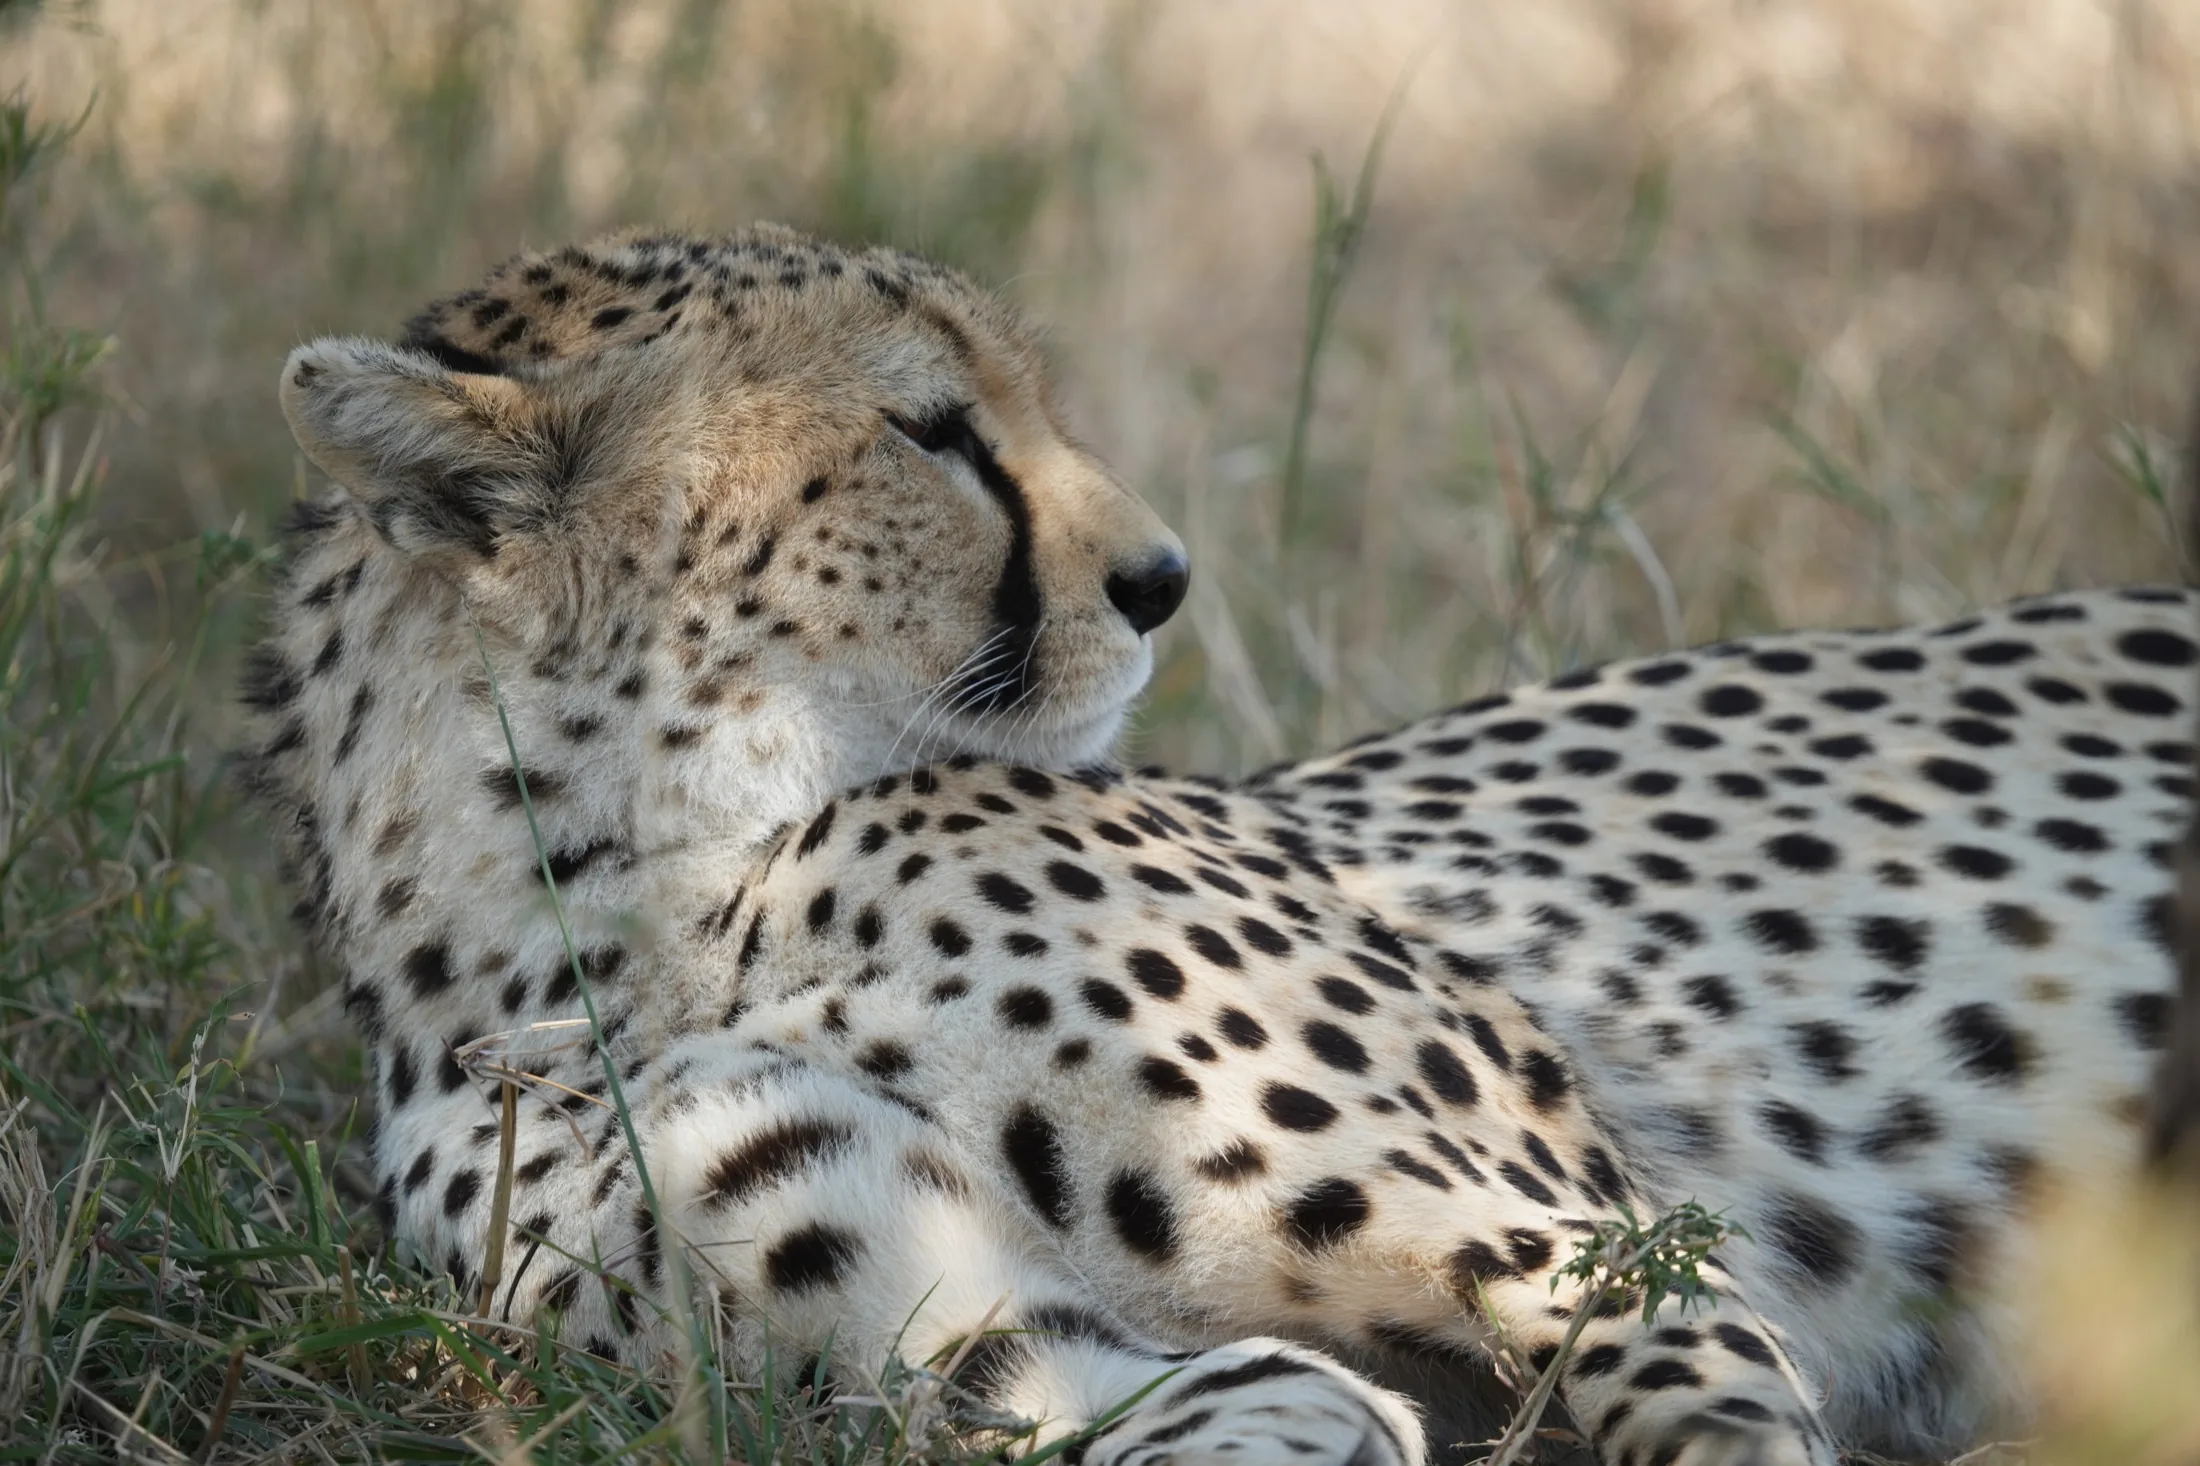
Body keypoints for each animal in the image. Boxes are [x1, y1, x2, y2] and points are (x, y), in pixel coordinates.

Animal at [239, 225, 2192, 1466]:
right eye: (930, 428)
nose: (1163, 577)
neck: (647, 901)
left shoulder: (1592, 1239)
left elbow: (1695, 1398)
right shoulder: (963, 1337)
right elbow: (1219, 1397)